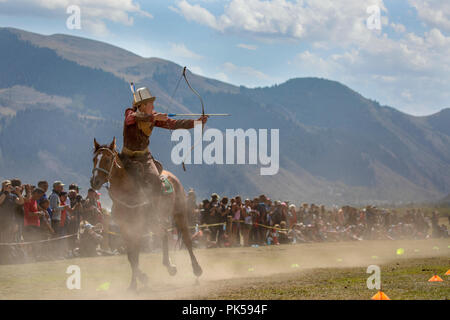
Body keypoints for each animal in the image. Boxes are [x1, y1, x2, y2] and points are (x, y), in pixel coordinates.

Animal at [89, 136, 202, 292]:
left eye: (107, 159)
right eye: (94, 159)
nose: (95, 181)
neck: (127, 191)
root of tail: (172, 177)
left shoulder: (138, 226)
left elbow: (135, 255)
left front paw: (138, 280)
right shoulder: (125, 228)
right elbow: (131, 256)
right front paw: (136, 282)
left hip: (179, 214)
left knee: (187, 240)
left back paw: (196, 269)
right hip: (154, 223)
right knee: (163, 234)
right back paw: (170, 266)